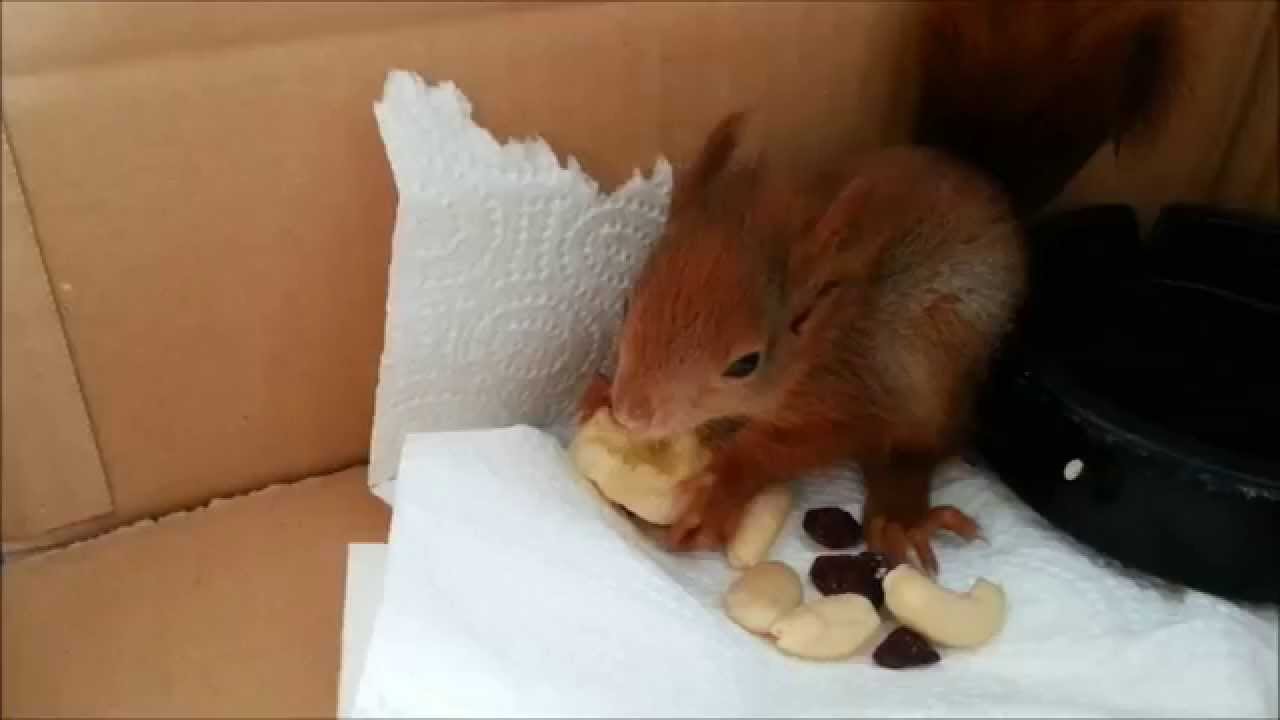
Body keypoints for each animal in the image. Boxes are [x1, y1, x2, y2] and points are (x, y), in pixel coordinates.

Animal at [579, 0, 1185, 574]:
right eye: (629, 300)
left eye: (746, 363)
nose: (631, 412)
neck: (826, 336)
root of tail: (990, 185)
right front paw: (596, 395)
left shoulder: (854, 396)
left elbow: (792, 448)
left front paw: (721, 490)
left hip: (938, 366)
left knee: (923, 446)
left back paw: (900, 513)